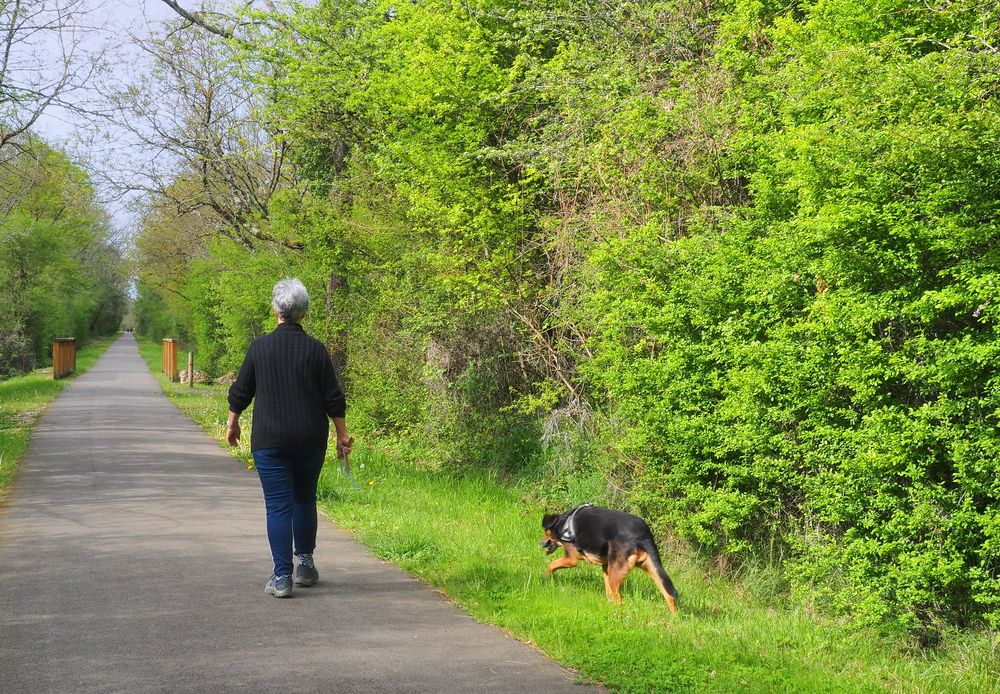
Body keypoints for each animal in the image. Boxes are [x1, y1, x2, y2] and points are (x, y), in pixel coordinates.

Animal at [540, 506, 680, 616]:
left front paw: (545, 579)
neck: (564, 522)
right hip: (652, 568)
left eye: (545, 531)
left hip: (617, 572)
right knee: (669, 595)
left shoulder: (571, 559)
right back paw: (674, 620)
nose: (540, 543)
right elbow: (607, 591)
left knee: (619, 599)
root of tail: (643, 535)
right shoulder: (606, 565)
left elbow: (551, 565)